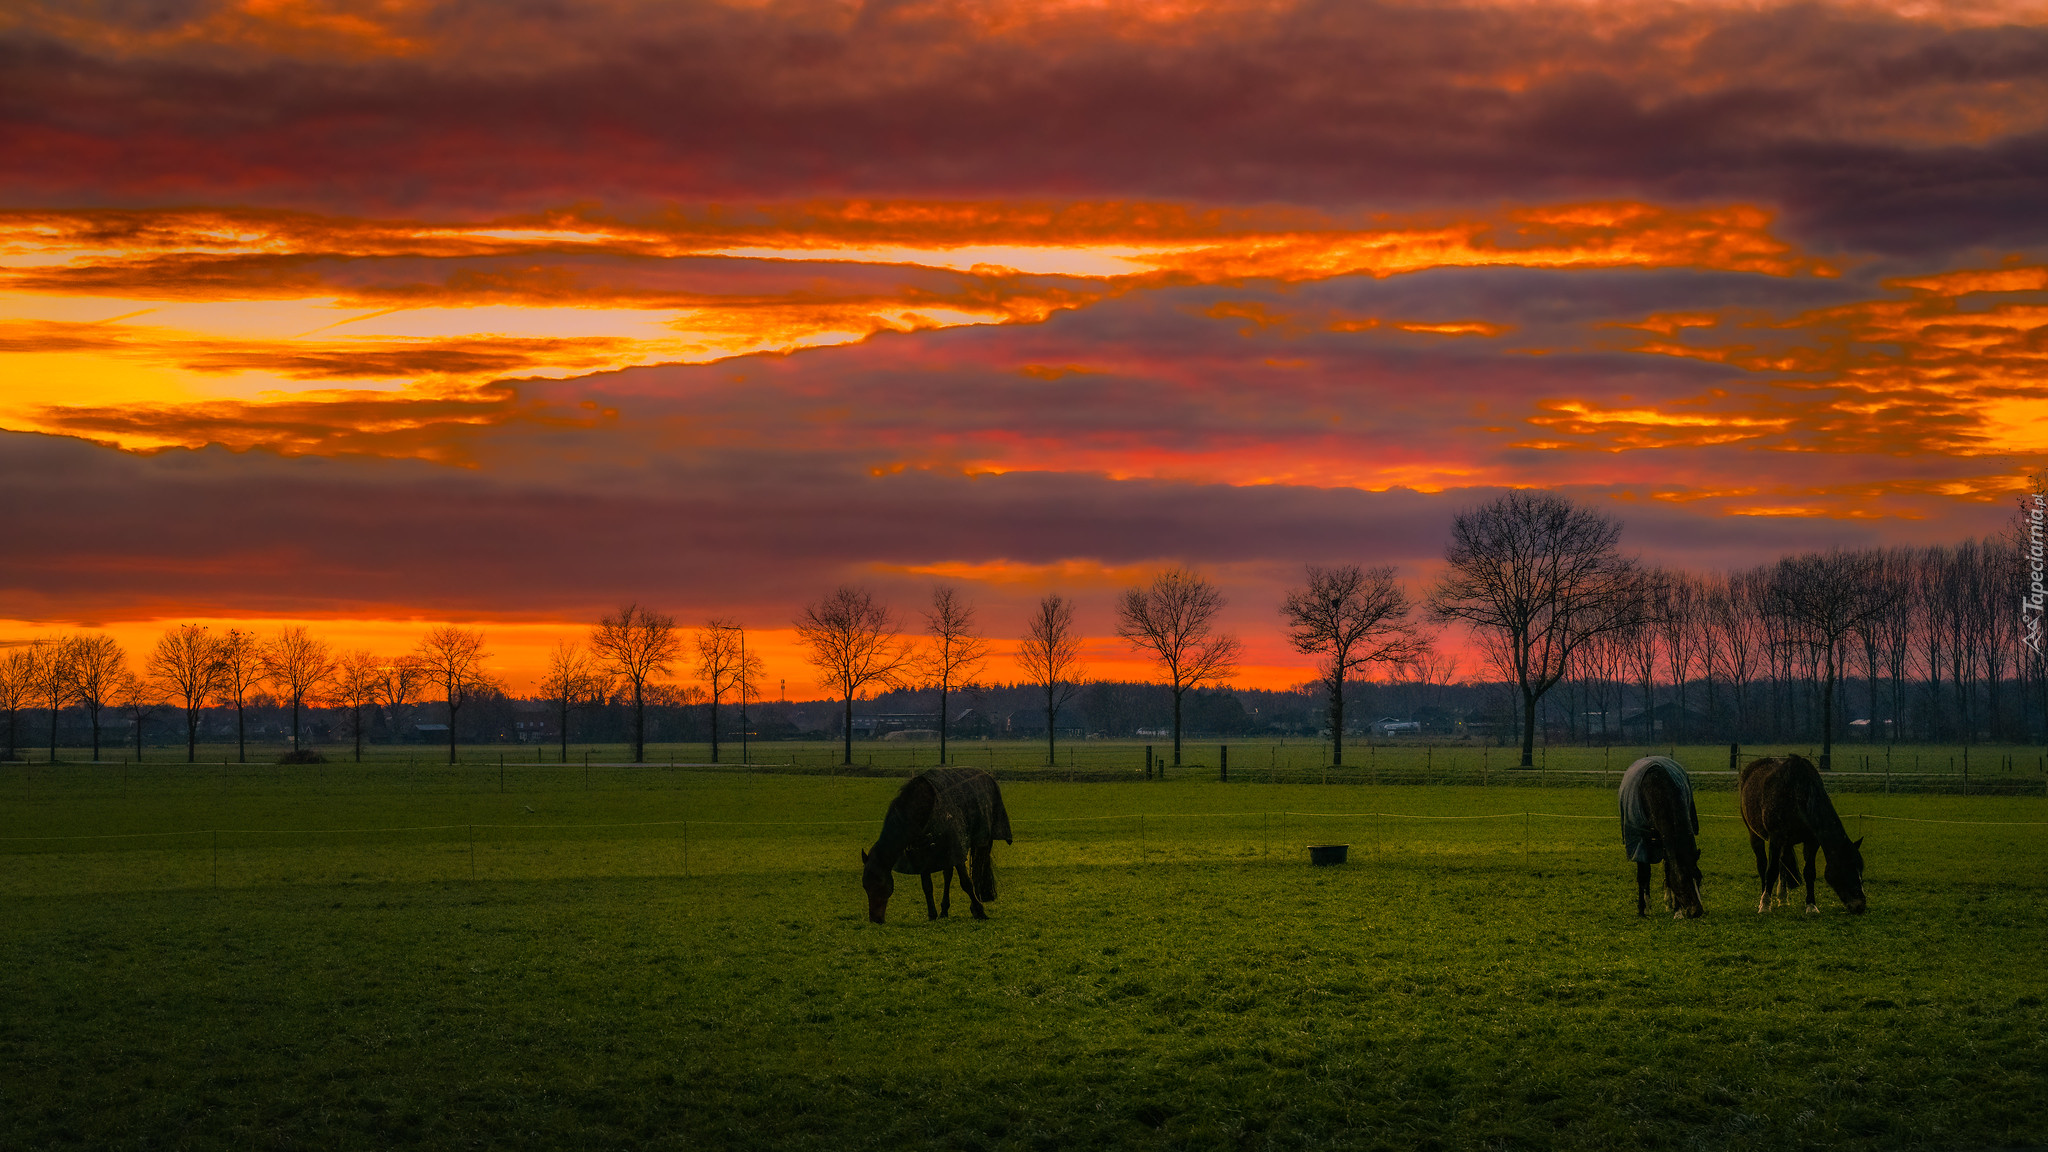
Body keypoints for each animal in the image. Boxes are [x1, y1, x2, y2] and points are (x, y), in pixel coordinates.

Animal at [856, 766, 1007, 918]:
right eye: (865, 885)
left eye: (880, 883)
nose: (875, 918)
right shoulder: (922, 853)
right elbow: (927, 886)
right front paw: (932, 914)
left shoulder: (956, 847)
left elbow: (966, 883)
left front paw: (979, 911)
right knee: (947, 875)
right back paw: (944, 910)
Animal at [1605, 754, 1703, 914]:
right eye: (1683, 879)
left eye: (1699, 877)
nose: (1697, 911)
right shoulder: (1638, 842)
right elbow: (1643, 875)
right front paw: (1643, 909)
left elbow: (1669, 870)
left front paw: (1676, 908)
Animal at [1736, 754, 1867, 914]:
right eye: (1846, 867)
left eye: (1860, 869)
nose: (1861, 905)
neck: (1798, 793)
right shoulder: (1776, 837)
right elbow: (1770, 871)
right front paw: (1765, 905)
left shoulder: (1811, 841)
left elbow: (1809, 872)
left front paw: (1811, 906)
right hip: (1755, 835)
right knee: (1763, 865)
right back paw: (1764, 896)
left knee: (1782, 866)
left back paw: (1783, 898)